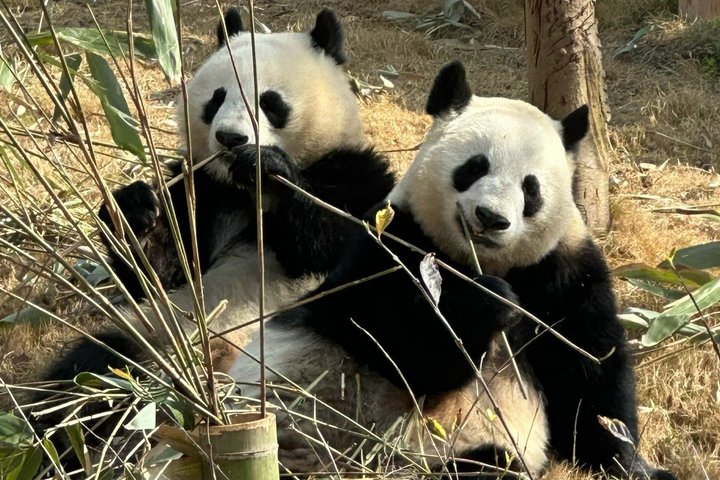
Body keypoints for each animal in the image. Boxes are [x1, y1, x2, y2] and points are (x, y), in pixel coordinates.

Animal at [227, 61, 677, 480]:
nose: (490, 218)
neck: (479, 262)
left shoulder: (563, 270)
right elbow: (387, 340)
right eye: (474, 167)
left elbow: (590, 372)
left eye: (530, 188)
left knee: (490, 464)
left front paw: (632, 463)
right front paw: (487, 303)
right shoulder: (392, 241)